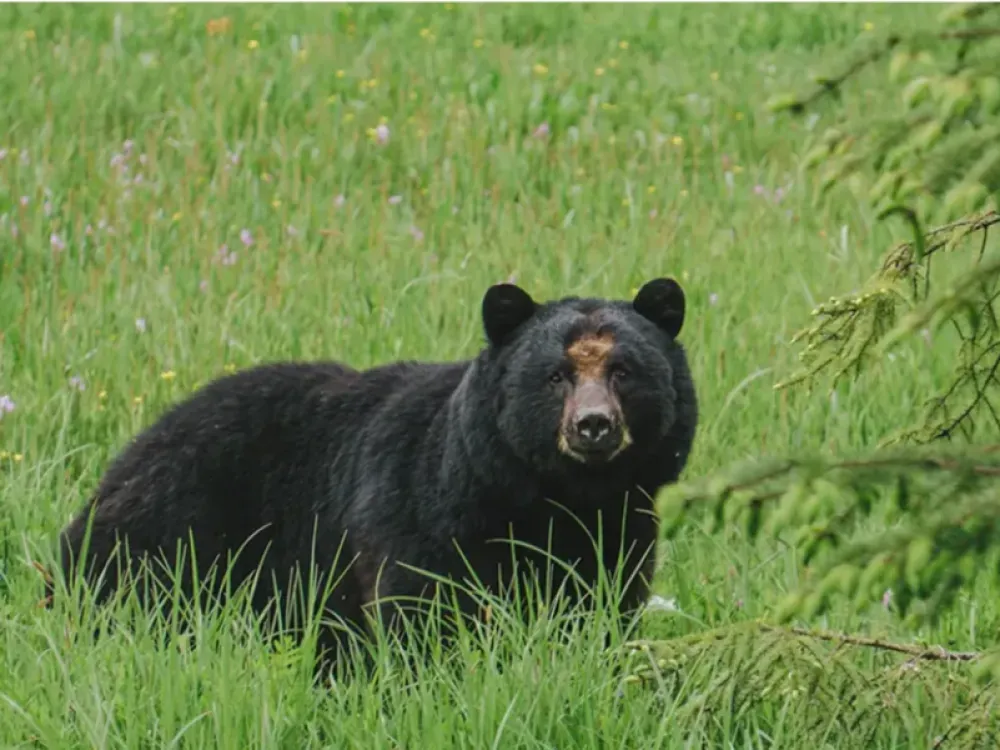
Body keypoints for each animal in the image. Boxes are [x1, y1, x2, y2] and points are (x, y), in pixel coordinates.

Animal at [54, 277, 698, 674]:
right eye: (556, 375)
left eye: (623, 370)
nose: (593, 426)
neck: (554, 498)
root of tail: (125, 458)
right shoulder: (422, 511)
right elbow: (421, 611)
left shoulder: (621, 528)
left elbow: (600, 605)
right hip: (175, 534)